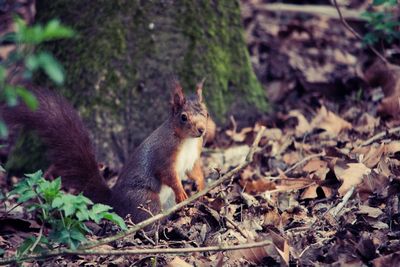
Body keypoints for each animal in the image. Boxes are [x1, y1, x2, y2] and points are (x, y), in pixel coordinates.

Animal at [2, 81, 209, 224]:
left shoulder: (193, 156)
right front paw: (182, 191)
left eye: (206, 113)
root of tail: (113, 201)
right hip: (145, 200)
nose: (202, 130)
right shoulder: (164, 154)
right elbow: (167, 174)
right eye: (183, 117)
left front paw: (201, 185)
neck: (187, 141)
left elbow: (194, 170)